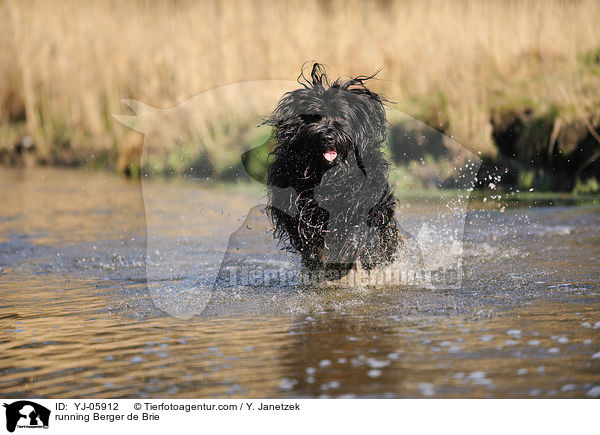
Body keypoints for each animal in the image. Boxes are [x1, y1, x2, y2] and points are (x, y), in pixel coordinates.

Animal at [264, 63, 400, 276]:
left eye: (340, 117)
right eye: (314, 118)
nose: (328, 137)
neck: (329, 176)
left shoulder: (360, 204)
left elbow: (355, 233)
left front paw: (342, 262)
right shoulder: (297, 210)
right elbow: (308, 241)